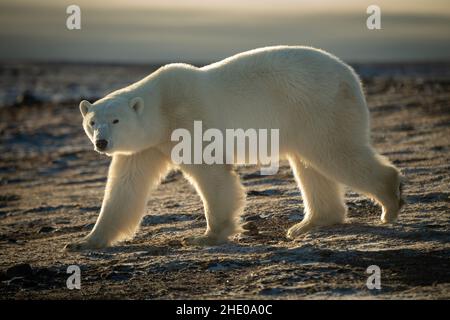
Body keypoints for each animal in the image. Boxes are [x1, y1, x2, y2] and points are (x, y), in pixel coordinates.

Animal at [64, 45, 404, 250]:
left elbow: (212, 174)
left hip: (317, 106)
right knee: (311, 165)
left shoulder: (188, 120)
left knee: (335, 153)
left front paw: (208, 236)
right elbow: (125, 187)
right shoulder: (147, 146)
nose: (102, 142)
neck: (161, 107)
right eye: (92, 122)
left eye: (116, 119)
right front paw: (84, 241)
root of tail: (351, 75)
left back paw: (389, 202)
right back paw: (308, 224)